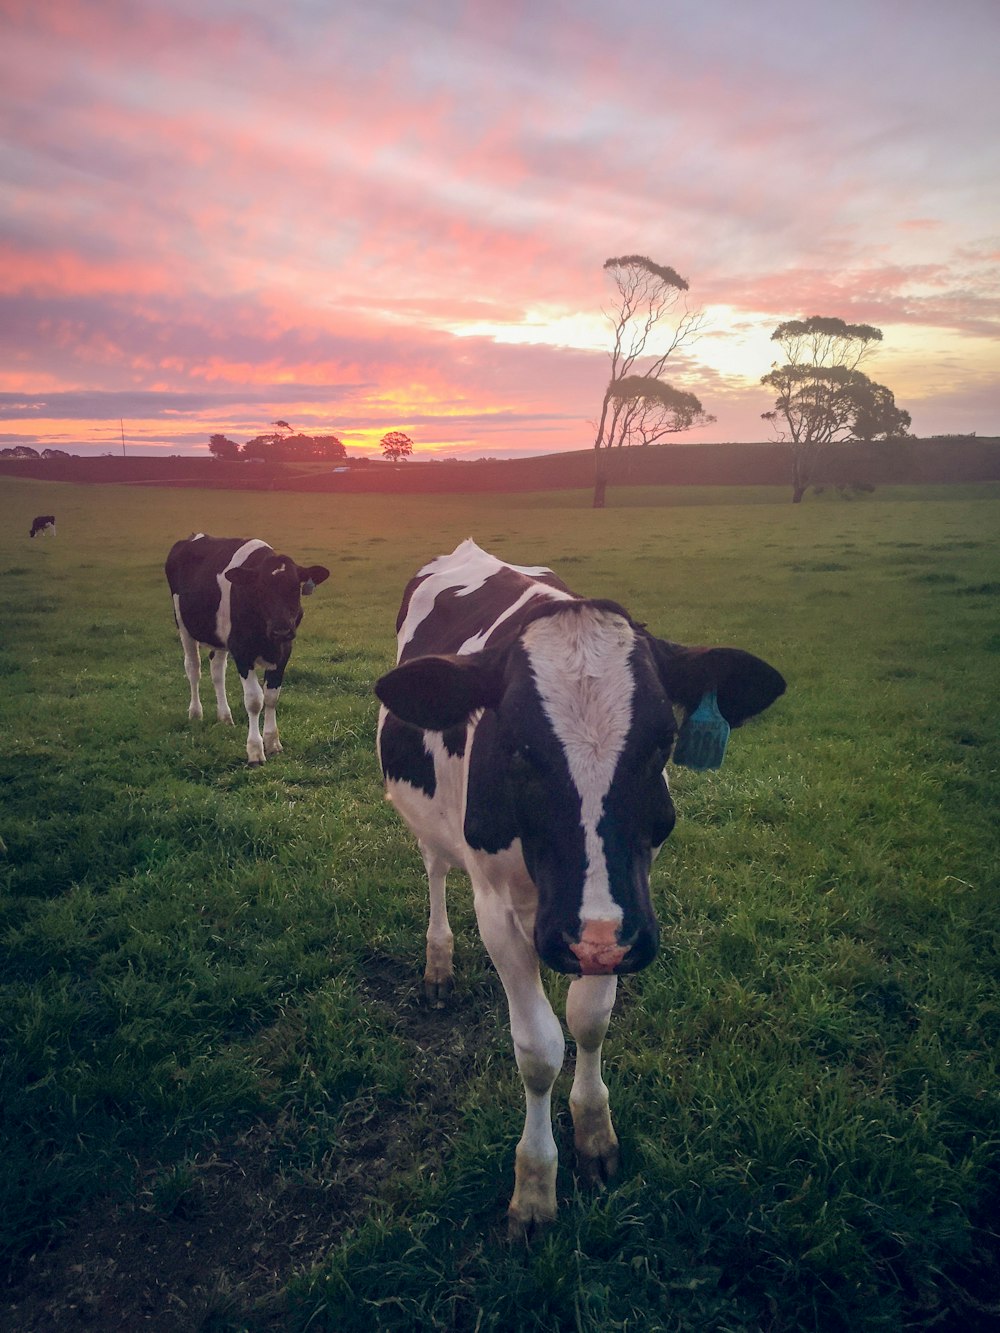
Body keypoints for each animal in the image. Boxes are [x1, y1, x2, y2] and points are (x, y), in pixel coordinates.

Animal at [166, 527, 330, 762]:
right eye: (260, 588)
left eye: (295, 588)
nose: (281, 629)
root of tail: (193, 536)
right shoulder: (242, 651)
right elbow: (254, 700)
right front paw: (255, 751)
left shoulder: (284, 651)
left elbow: (271, 697)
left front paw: (273, 743)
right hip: (183, 625)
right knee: (193, 669)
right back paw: (196, 713)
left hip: (221, 638)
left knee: (217, 671)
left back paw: (225, 717)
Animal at [378, 535, 789, 1231]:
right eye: (517, 748)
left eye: (663, 742)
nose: (588, 938)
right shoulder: (500, 909)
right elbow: (539, 1048)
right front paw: (535, 1185)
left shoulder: (618, 920)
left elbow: (589, 1021)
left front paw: (594, 1133)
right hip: (428, 819)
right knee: (434, 867)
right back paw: (437, 963)